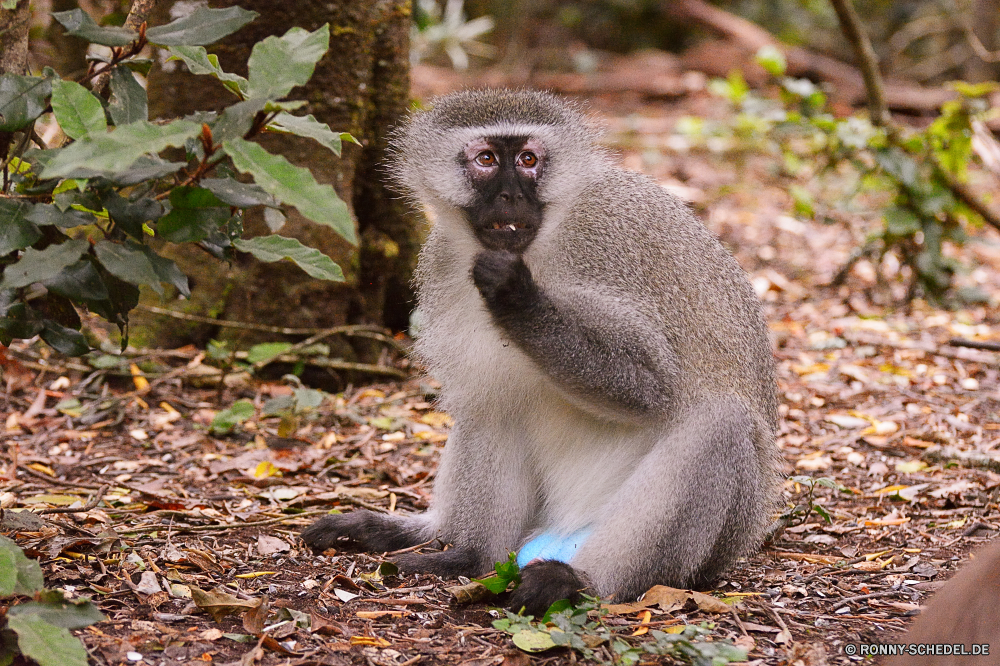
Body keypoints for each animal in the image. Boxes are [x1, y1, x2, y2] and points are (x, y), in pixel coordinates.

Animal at [304, 88, 780, 612]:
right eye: (487, 160)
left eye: (529, 160)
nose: (511, 195)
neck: (542, 242)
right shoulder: (442, 262)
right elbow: (483, 399)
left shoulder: (609, 251)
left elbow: (651, 386)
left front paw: (518, 298)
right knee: (493, 406)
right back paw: (455, 548)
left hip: (711, 533)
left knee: (720, 425)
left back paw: (581, 579)